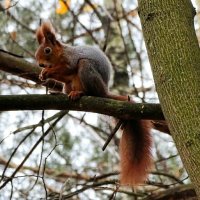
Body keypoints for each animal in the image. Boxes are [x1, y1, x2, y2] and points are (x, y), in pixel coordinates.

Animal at [35, 21, 152, 186]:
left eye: (47, 50)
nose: (40, 64)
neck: (60, 55)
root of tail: (105, 91)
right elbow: (62, 76)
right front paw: (42, 74)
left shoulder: (71, 60)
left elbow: (67, 68)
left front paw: (47, 73)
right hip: (69, 85)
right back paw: (60, 93)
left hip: (87, 69)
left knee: (92, 91)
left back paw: (80, 93)